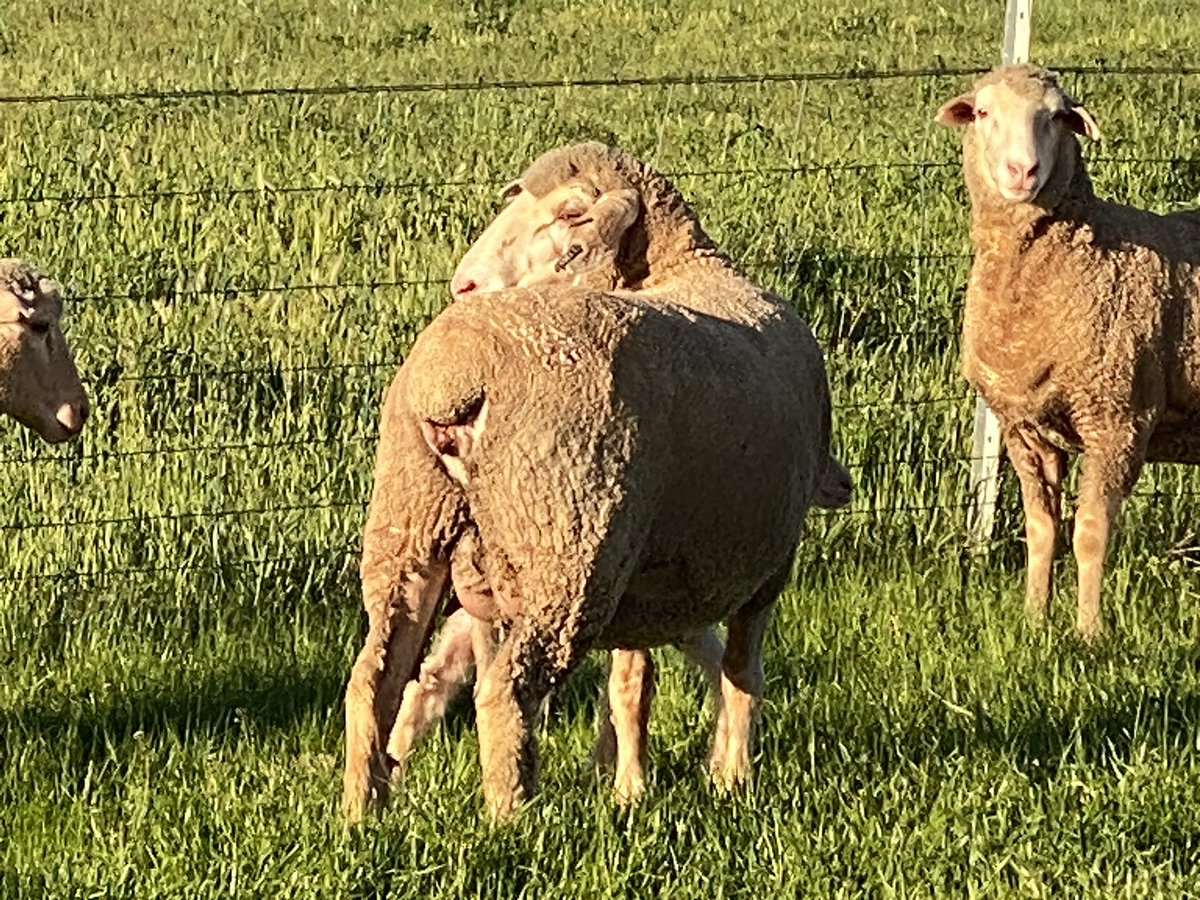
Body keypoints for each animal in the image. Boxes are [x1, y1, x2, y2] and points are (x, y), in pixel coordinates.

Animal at [343, 143, 849, 821]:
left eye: (570, 214)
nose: (464, 285)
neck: (686, 265)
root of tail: (455, 383)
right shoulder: (763, 563)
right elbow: (742, 672)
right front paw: (731, 779)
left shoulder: (642, 565)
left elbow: (632, 684)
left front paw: (630, 785)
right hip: (566, 546)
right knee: (505, 691)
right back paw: (512, 815)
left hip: (414, 520)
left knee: (376, 676)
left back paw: (362, 807)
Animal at [936, 64, 1200, 639]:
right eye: (983, 112)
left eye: (1058, 116)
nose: (1023, 170)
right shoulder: (1024, 429)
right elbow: (1041, 528)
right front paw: (1035, 619)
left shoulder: (1117, 421)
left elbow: (1090, 532)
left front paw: (1089, 632)